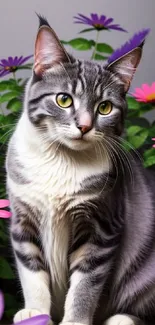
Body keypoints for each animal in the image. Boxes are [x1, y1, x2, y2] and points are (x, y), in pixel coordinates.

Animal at [5, 16, 155, 324]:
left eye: (105, 107)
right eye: (63, 99)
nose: (84, 126)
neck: (61, 161)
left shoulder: (102, 228)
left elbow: (85, 287)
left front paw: (74, 321)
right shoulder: (23, 219)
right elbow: (31, 272)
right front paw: (35, 313)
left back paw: (120, 319)